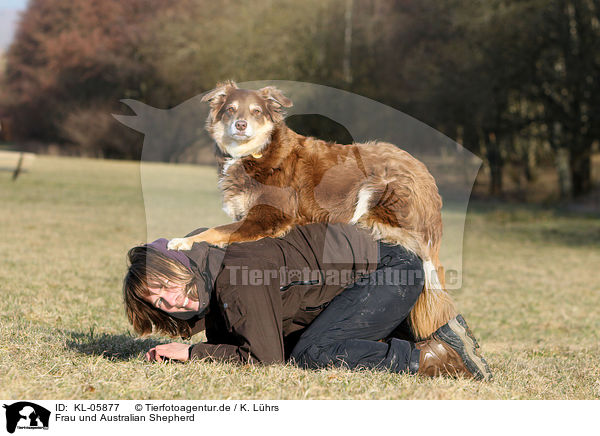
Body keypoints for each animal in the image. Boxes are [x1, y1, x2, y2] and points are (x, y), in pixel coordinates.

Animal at [168, 82, 454, 340]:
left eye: (256, 112)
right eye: (230, 109)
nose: (240, 125)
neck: (257, 152)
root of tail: (429, 181)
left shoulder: (268, 217)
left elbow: (215, 230)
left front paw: (182, 241)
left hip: (375, 188)